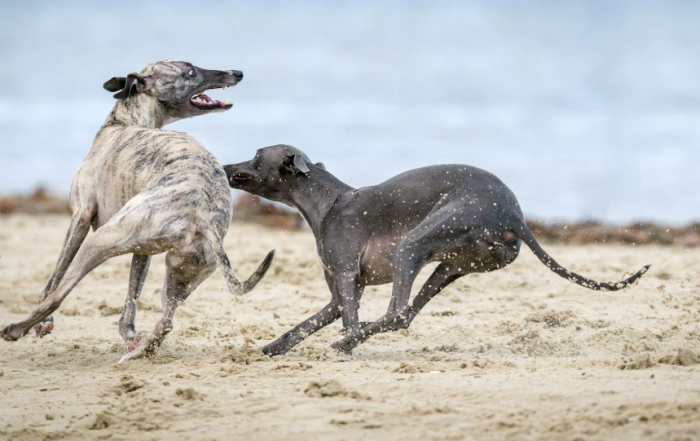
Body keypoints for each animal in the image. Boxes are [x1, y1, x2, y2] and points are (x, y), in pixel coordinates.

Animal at [0, 59, 274, 360]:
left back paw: (16, 329)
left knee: (58, 296)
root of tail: (203, 212)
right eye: (190, 70)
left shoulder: (81, 215)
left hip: (103, 239)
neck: (124, 122)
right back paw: (138, 352)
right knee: (166, 322)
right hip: (180, 272)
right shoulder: (144, 250)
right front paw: (129, 336)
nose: (238, 73)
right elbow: (132, 296)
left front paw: (44, 324)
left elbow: (55, 278)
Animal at [224, 144, 652, 354]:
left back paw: (349, 341)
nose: (226, 166)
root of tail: (514, 216)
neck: (328, 201)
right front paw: (273, 348)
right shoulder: (343, 291)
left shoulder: (346, 276)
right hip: (449, 265)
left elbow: (347, 319)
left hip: (414, 244)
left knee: (397, 312)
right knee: (407, 315)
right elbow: (306, 324)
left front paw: (347, 346)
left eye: (257, 156)